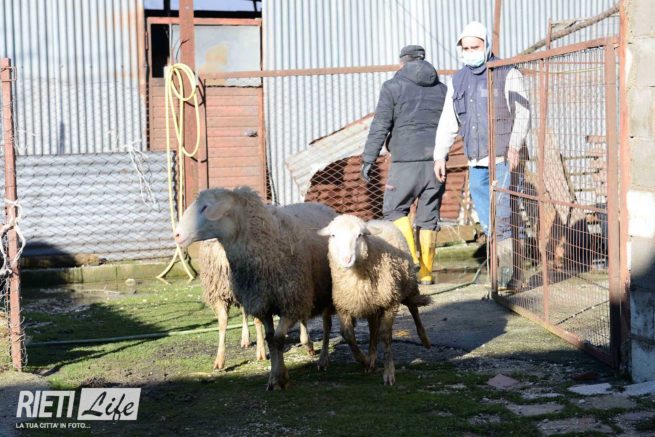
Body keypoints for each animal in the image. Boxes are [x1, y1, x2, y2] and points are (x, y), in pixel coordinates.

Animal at [176, 187, 336, 390]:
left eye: (206, 207)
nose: (177, 235)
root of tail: (322, 205)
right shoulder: (260, 301)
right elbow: (269, 338)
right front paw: (273, 376)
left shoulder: (289, 301)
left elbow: (278, 339)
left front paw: (280, 378)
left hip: (322, 291)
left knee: (326, 324)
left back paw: (321, 358)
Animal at [318, 215, 431, 386]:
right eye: (333, 235)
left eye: (359, 235)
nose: (346, 259)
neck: (356, 278)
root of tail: (379, 220)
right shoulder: (343, 305)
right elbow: (348, 334)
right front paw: (364, 360)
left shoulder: (390, 302)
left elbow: (386, 336)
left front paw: (389, 372)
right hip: (369, 303)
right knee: (360, 328)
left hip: (407, 284)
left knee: (414, 309)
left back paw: (424, 339)